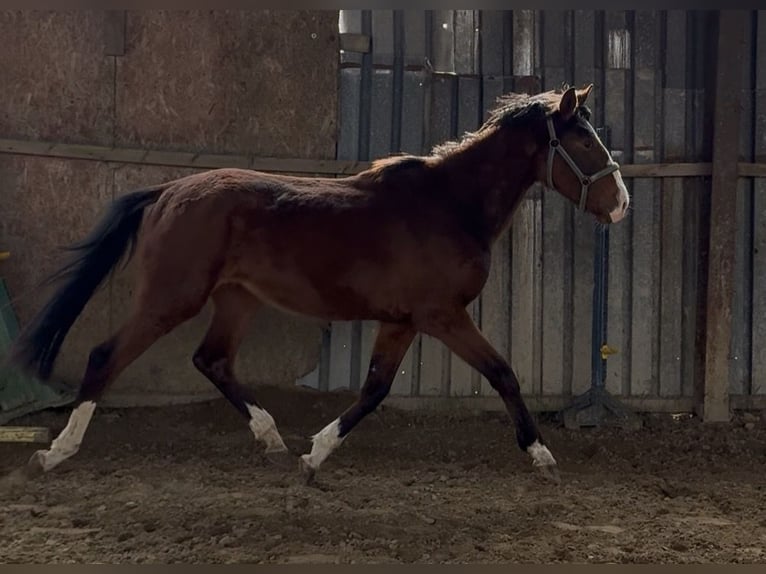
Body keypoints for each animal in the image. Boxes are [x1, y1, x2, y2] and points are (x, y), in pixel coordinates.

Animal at [8, 84, 628, 485]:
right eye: (583, 143)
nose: (621, 203)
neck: (450, 205)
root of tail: (167, 192)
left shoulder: (402, 322)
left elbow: (375, 388)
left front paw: (314, 455)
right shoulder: (442, 316)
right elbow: (502, 373)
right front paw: (541, 455)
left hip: (237, 299)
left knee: (212, 360)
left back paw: (272, 439)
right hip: (171, 297)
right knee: (105, 355)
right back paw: (55, 453)